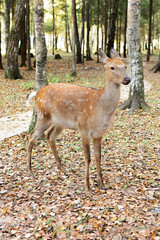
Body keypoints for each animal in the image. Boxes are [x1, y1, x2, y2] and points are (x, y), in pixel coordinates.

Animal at [26, 49, 131, 194]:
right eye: (112, 67)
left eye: (125, 66)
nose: (127, 79)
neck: (101, 108)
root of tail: (36, 94)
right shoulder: (84, 128)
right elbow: (88, 157)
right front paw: (87, 187)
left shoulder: (99, 133)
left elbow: (98, 156)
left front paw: (101, 184)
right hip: (43, 116)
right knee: (31, 136)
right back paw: (30, 170)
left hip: (59, 122)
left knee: (50, 136)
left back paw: (61, 167)